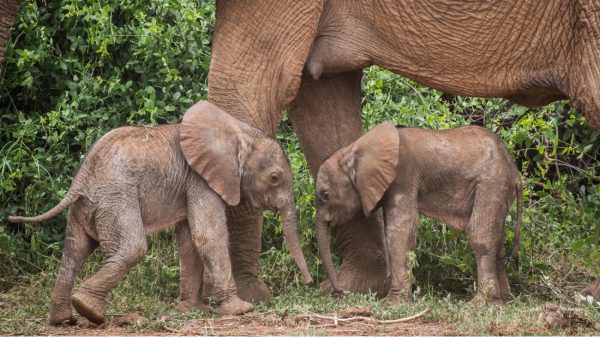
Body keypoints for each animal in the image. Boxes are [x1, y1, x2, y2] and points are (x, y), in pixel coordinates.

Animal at [8, 100, 314, 326]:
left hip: (88, 203)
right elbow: (207, 235)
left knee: (74, 250)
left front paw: (193, 310)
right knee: (131, 248)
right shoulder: (200, 180)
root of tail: (81, 177)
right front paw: (240, 309)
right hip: (115, 197)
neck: (237, 132)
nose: (310, 283)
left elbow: (189, 240)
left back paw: (63, 319)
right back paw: (89, 310)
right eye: (274, 178)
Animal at [318, 121, 520, 302]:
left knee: (480, 236)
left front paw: (392, 302)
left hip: (491, 183)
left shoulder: (402, 177)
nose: (339, 292)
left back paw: (480, 303)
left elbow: (399, 232)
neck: (353, 149)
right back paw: (504, 301)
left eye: (325, 195)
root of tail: (515, 171)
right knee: (498, 240)